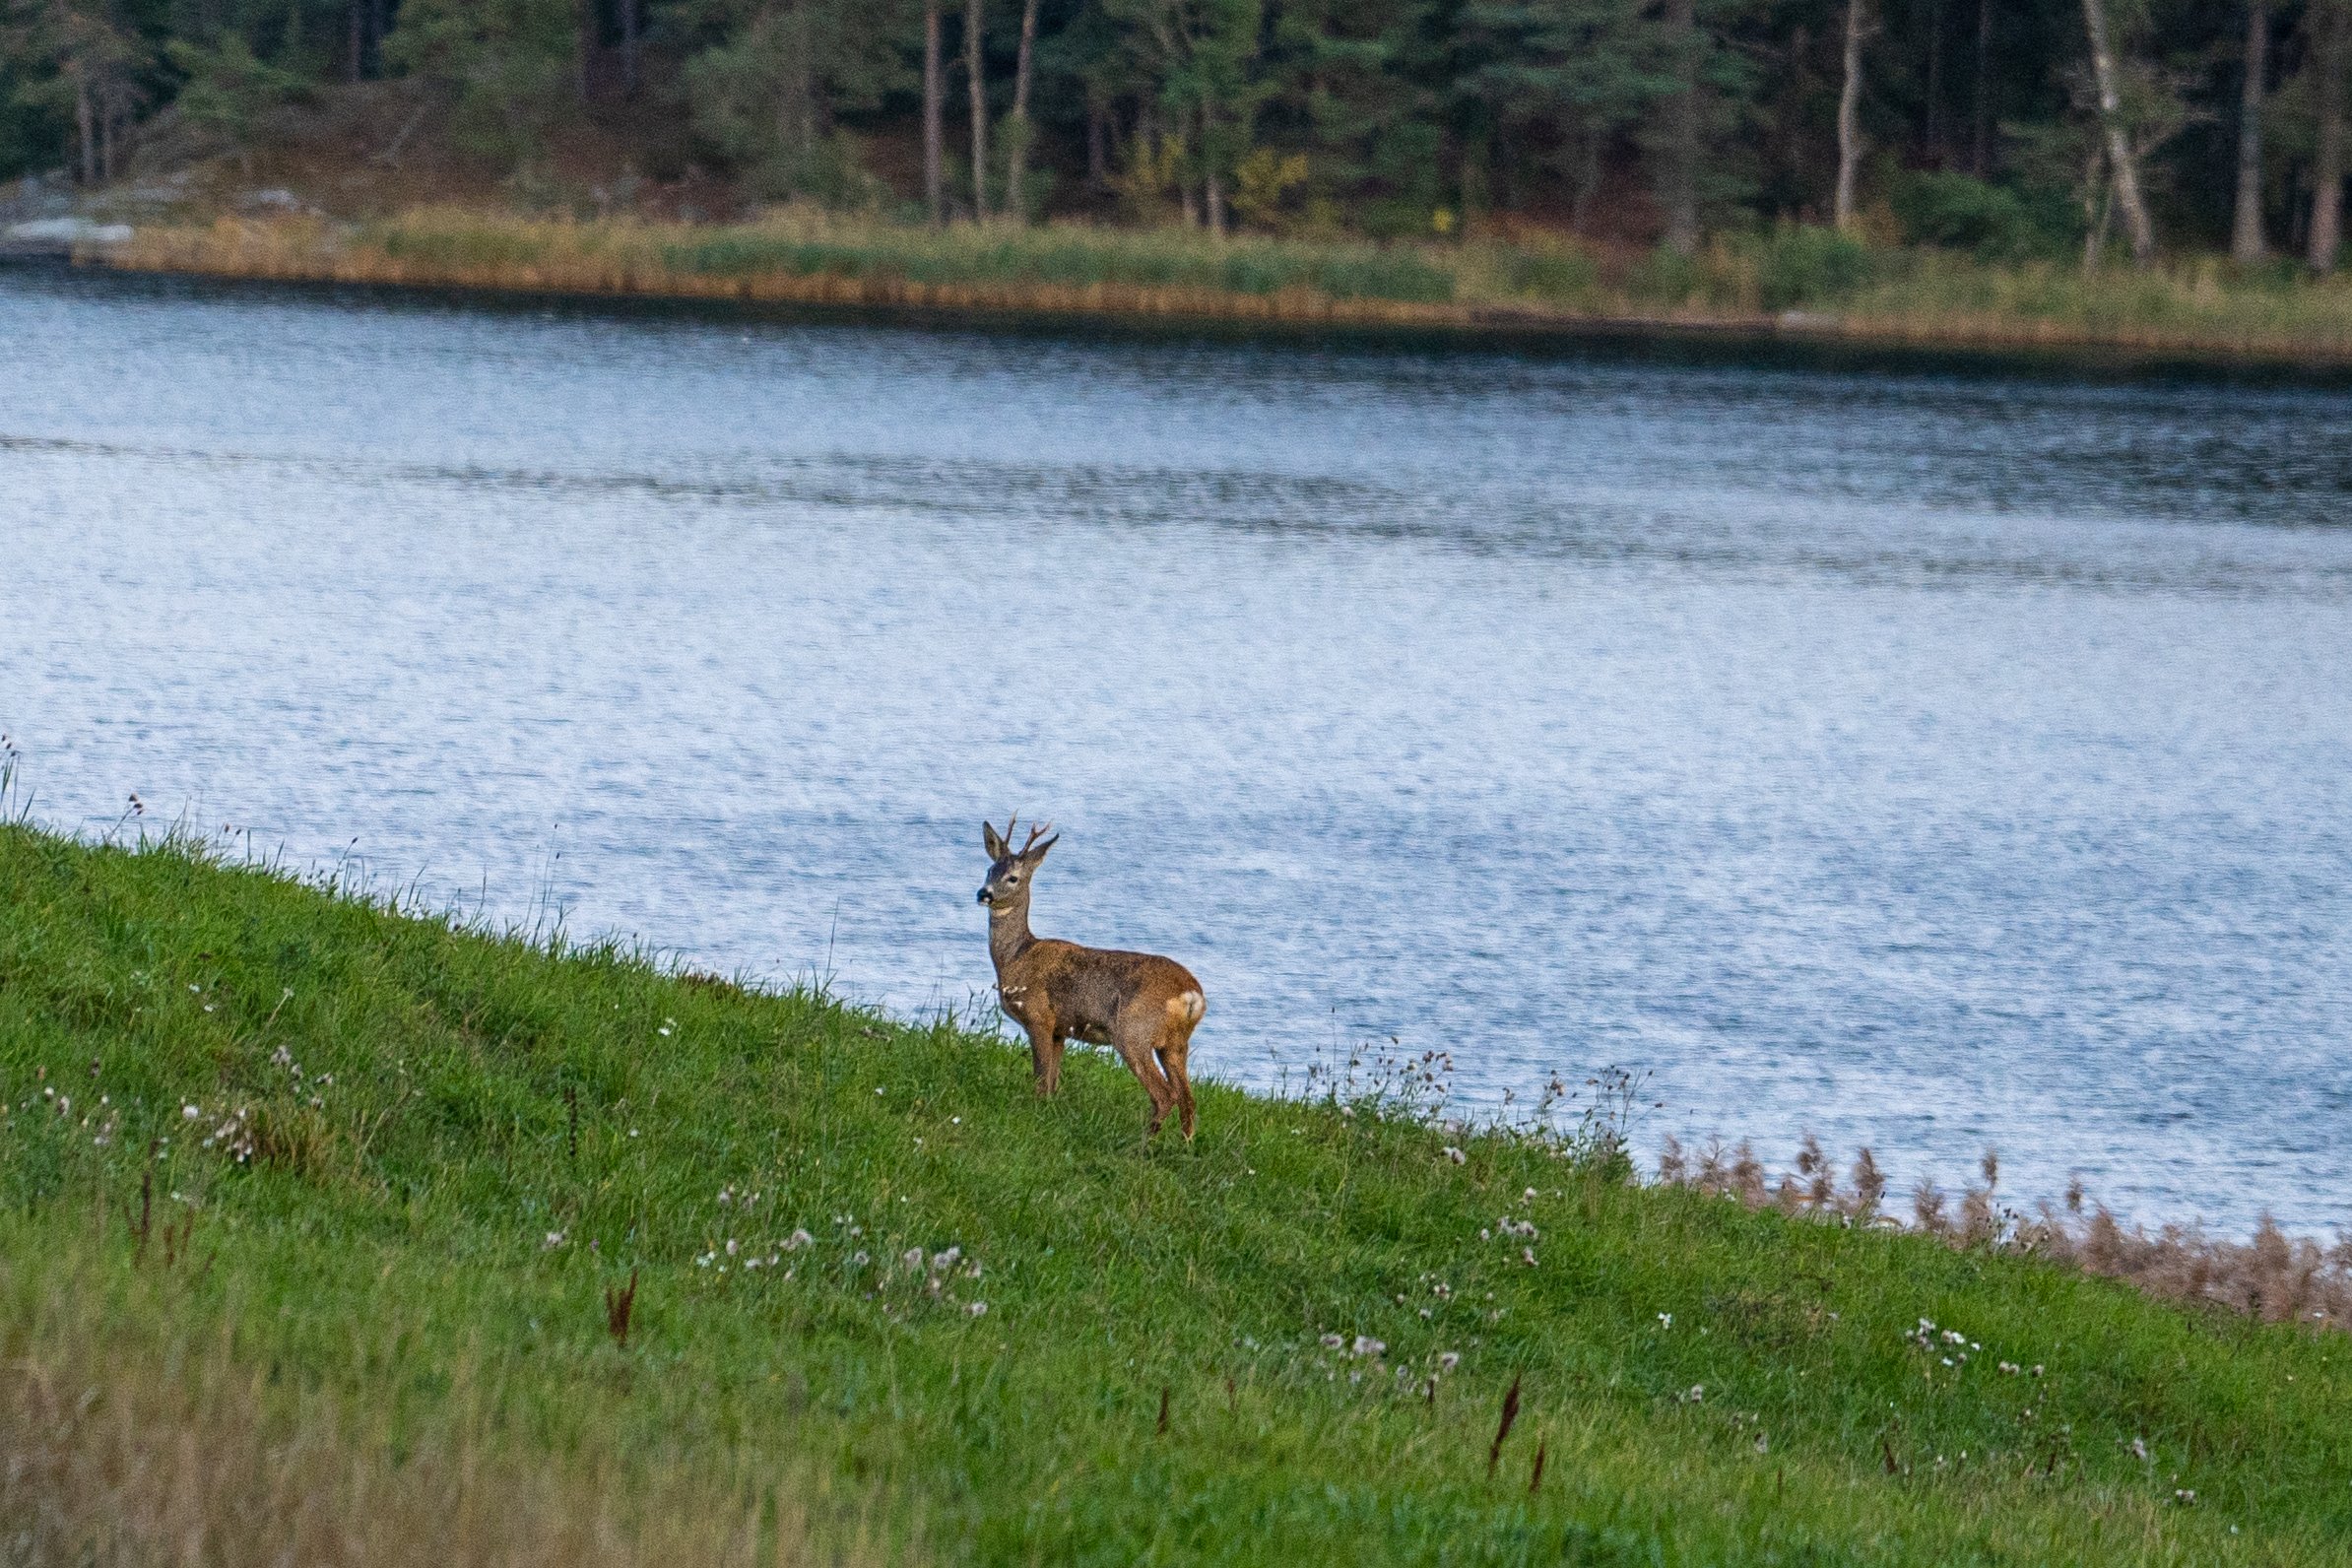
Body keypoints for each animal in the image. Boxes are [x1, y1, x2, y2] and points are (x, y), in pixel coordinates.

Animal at [973, 822, 1204, 1142]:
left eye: (1013, 877)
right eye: (989, 869)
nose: (984, 893)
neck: (1017, 956)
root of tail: (1191, 994)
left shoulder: (1039, 1017)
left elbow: (1040, 1079)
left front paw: (1035, 1114)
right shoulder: (1060, 1030)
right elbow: (1053, 1082)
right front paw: (1049, 1112)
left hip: (1133, 1032)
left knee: (1164, 1094)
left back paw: (1141, 1145)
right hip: (1174, 1043)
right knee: (1188, 1098)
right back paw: (1184, 1144)